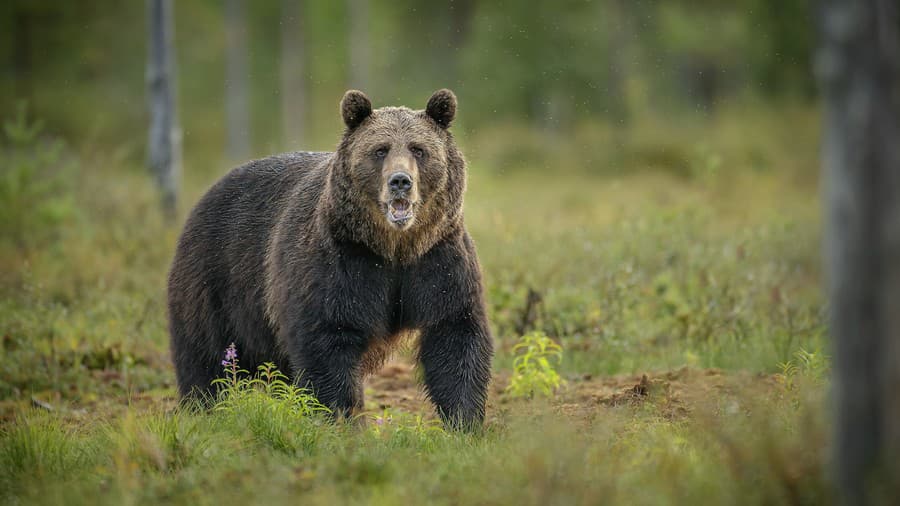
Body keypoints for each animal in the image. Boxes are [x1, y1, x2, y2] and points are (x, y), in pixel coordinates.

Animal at [167, 90, 492, 426]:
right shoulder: (342, 260)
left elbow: (453, 333)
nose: (400, 181)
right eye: (380, 150)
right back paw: (204, 408)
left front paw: (464, 420)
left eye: (418, 149)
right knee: (205, 352)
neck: (394, 247)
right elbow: (328, 337)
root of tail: (209, 192)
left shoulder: (437, 258)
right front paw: (340, 416)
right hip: (216, 277)